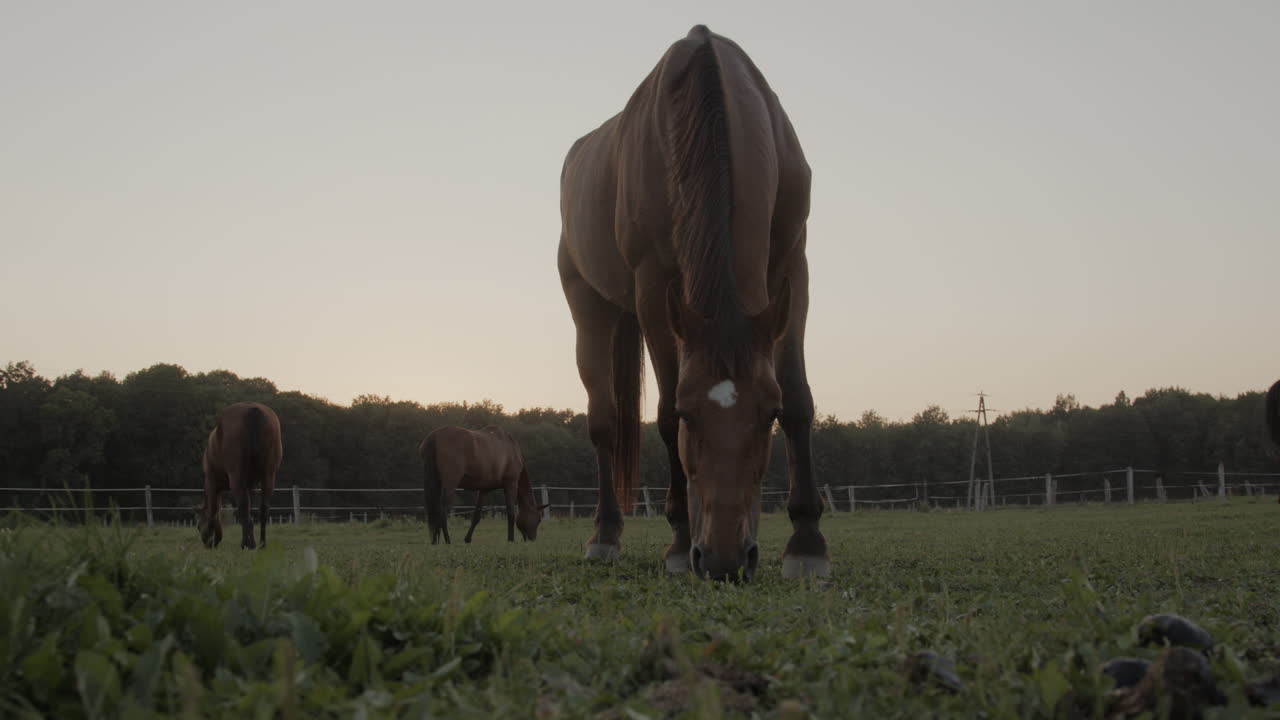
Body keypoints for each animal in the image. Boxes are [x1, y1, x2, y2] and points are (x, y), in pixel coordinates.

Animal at [197, 402, 283, 549]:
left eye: (198, 526)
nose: (206, 543)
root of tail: (253, 410)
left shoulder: (211, 482)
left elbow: (213, 511)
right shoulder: (249, 485)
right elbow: (249, 511)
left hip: (236, 476)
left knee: (242, 507)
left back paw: (245, 544)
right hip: (269, 475)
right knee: (263, 508)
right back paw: (261, 543)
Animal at [557, 25, 826, 581]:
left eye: (768, 412)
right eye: (688, 413)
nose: (723, 559)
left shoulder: (793, 263)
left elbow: (800, 399)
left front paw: (808, 543)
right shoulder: (653, 285)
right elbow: (660, 415)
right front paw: (680, 545)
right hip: (588, 305)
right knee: (603, 422)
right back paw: (606, 535)